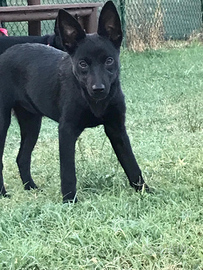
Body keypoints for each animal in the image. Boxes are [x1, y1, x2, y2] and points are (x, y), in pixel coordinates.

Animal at [0, 1, 149, 201]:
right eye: (82, 64)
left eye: (109, 60)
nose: (98, 89)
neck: (92, 102)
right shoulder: (67, 130)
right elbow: (68, 171)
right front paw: (69, 200)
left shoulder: (116, 128)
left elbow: (132, 164)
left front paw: (146, 192)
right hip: (3, 122)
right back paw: (3, 193)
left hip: (31, 122)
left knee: (22, 157)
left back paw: (31, 187)